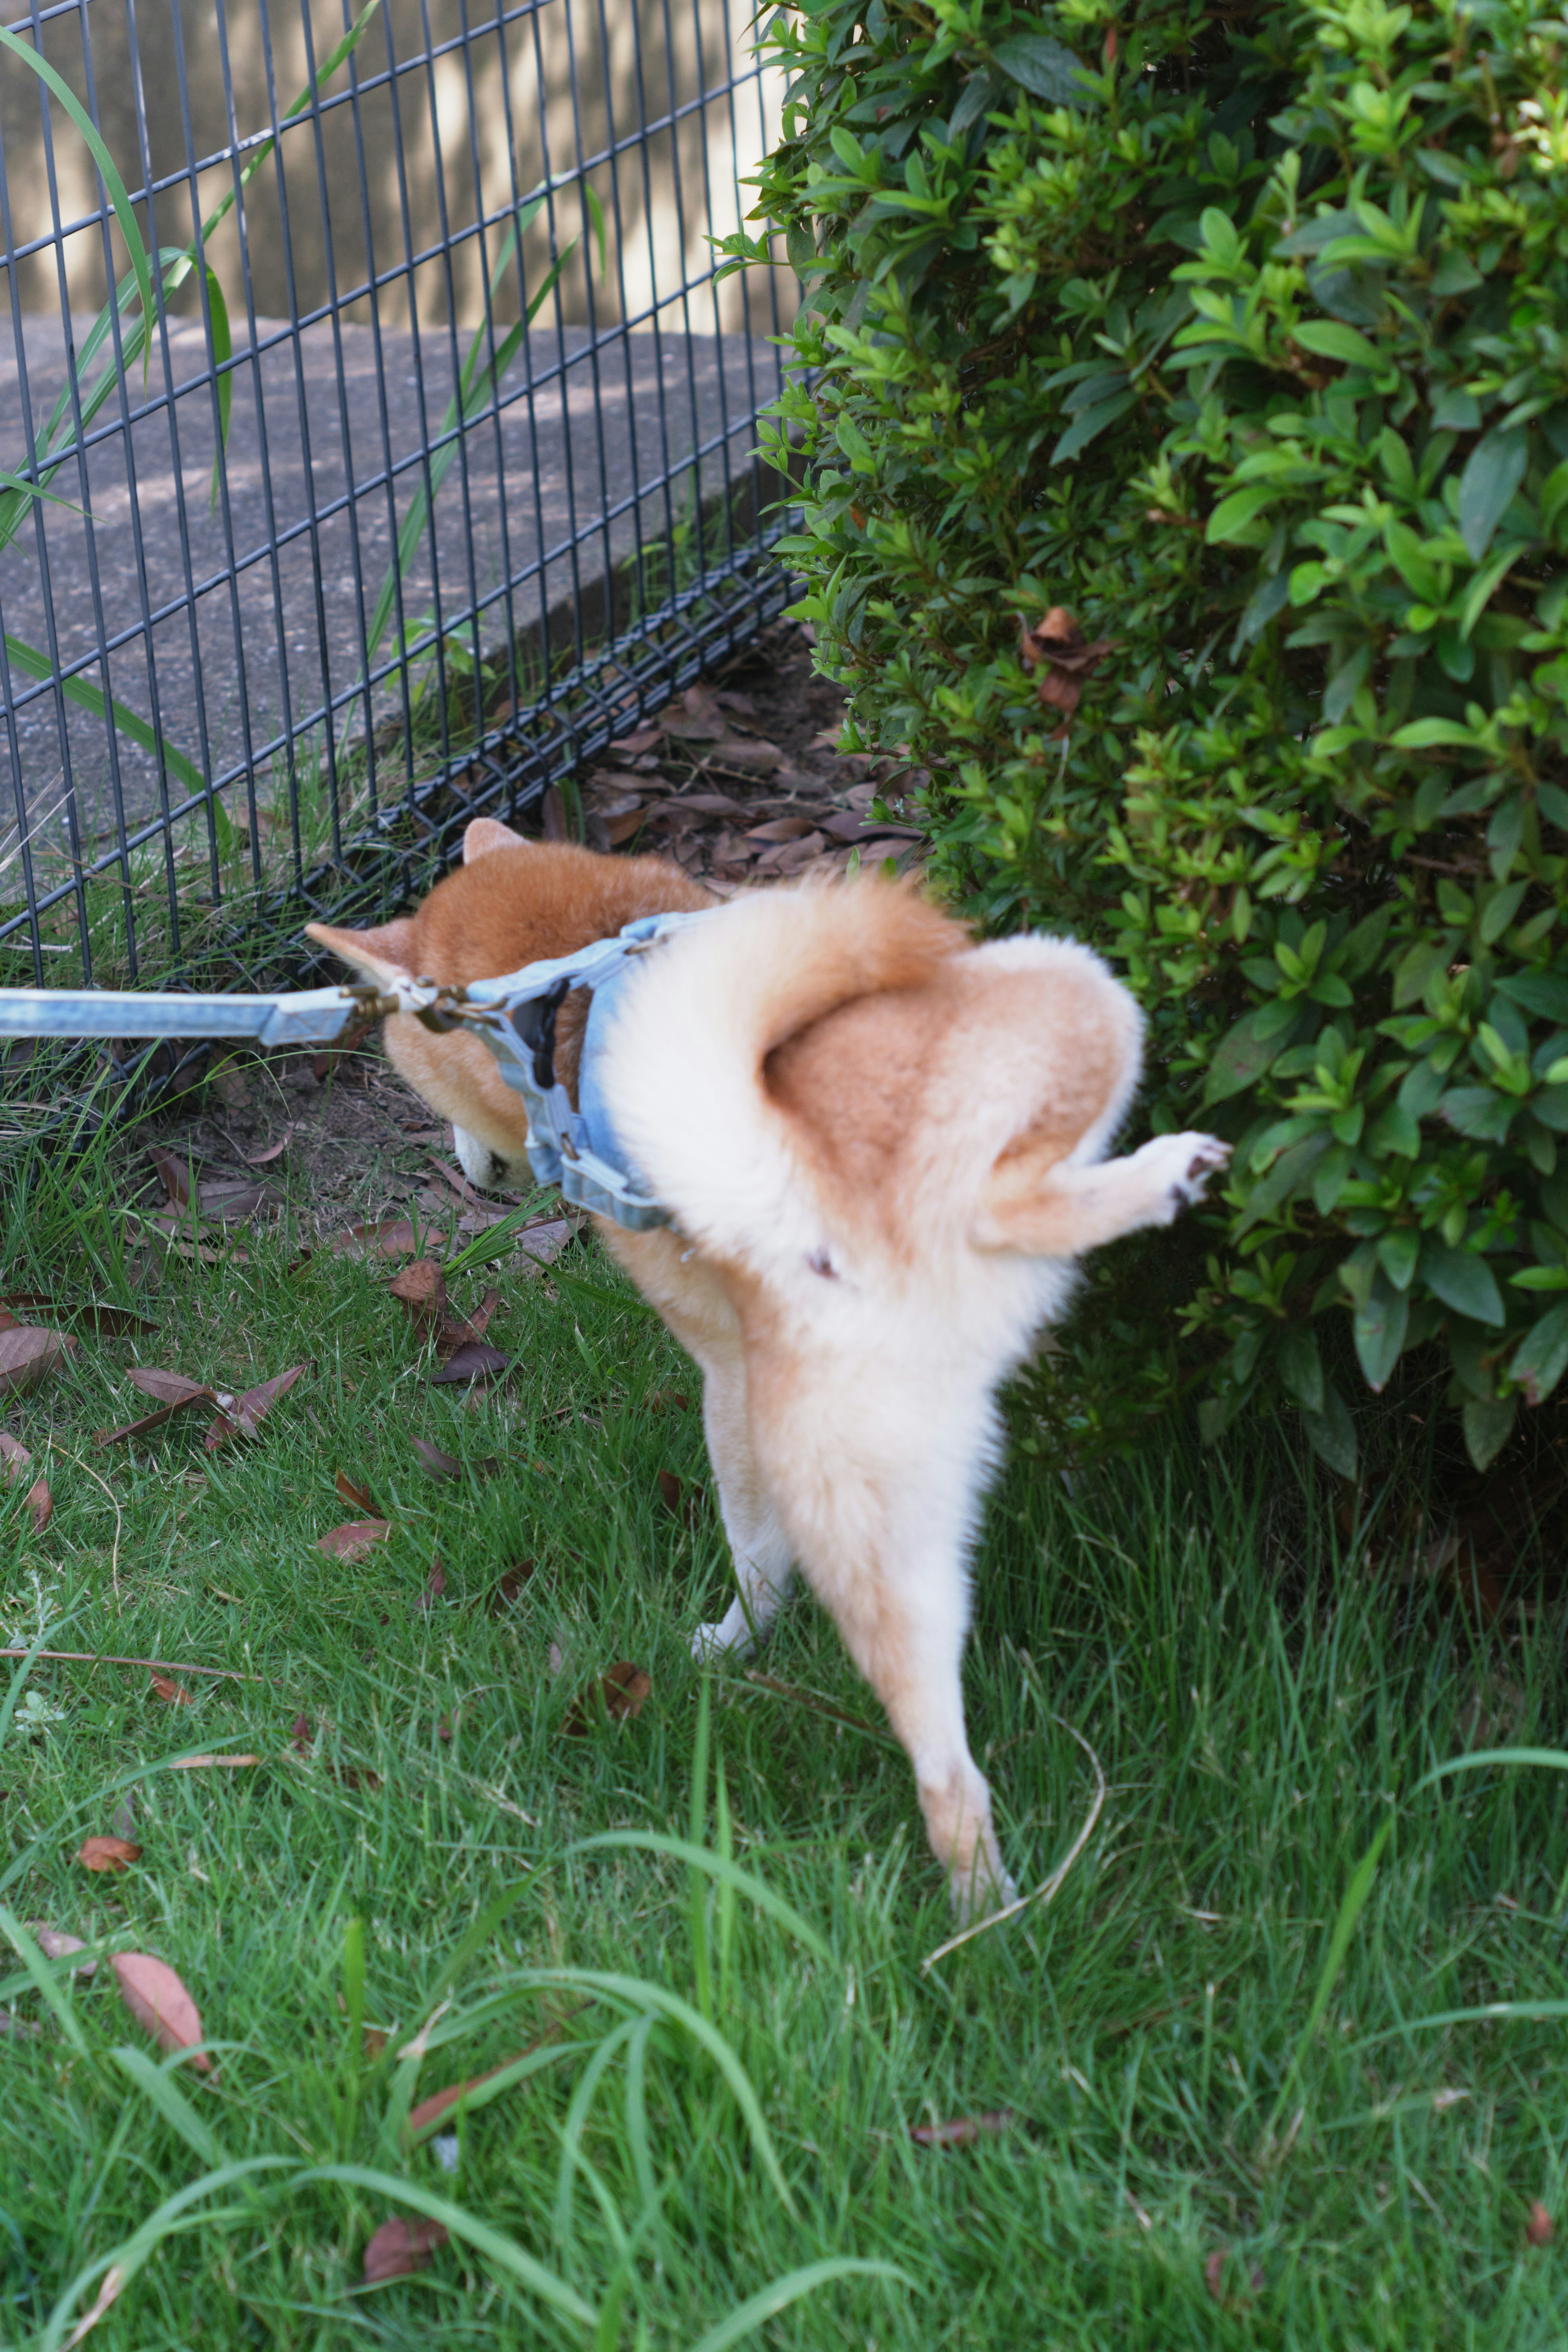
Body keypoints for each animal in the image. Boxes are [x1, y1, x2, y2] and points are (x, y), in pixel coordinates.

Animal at [312, 818, 1232, 1919]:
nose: (466, 1165)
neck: (575, 974)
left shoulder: (727, 1369)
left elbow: (754, 1550)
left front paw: (733, 1636)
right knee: (949, 1768)